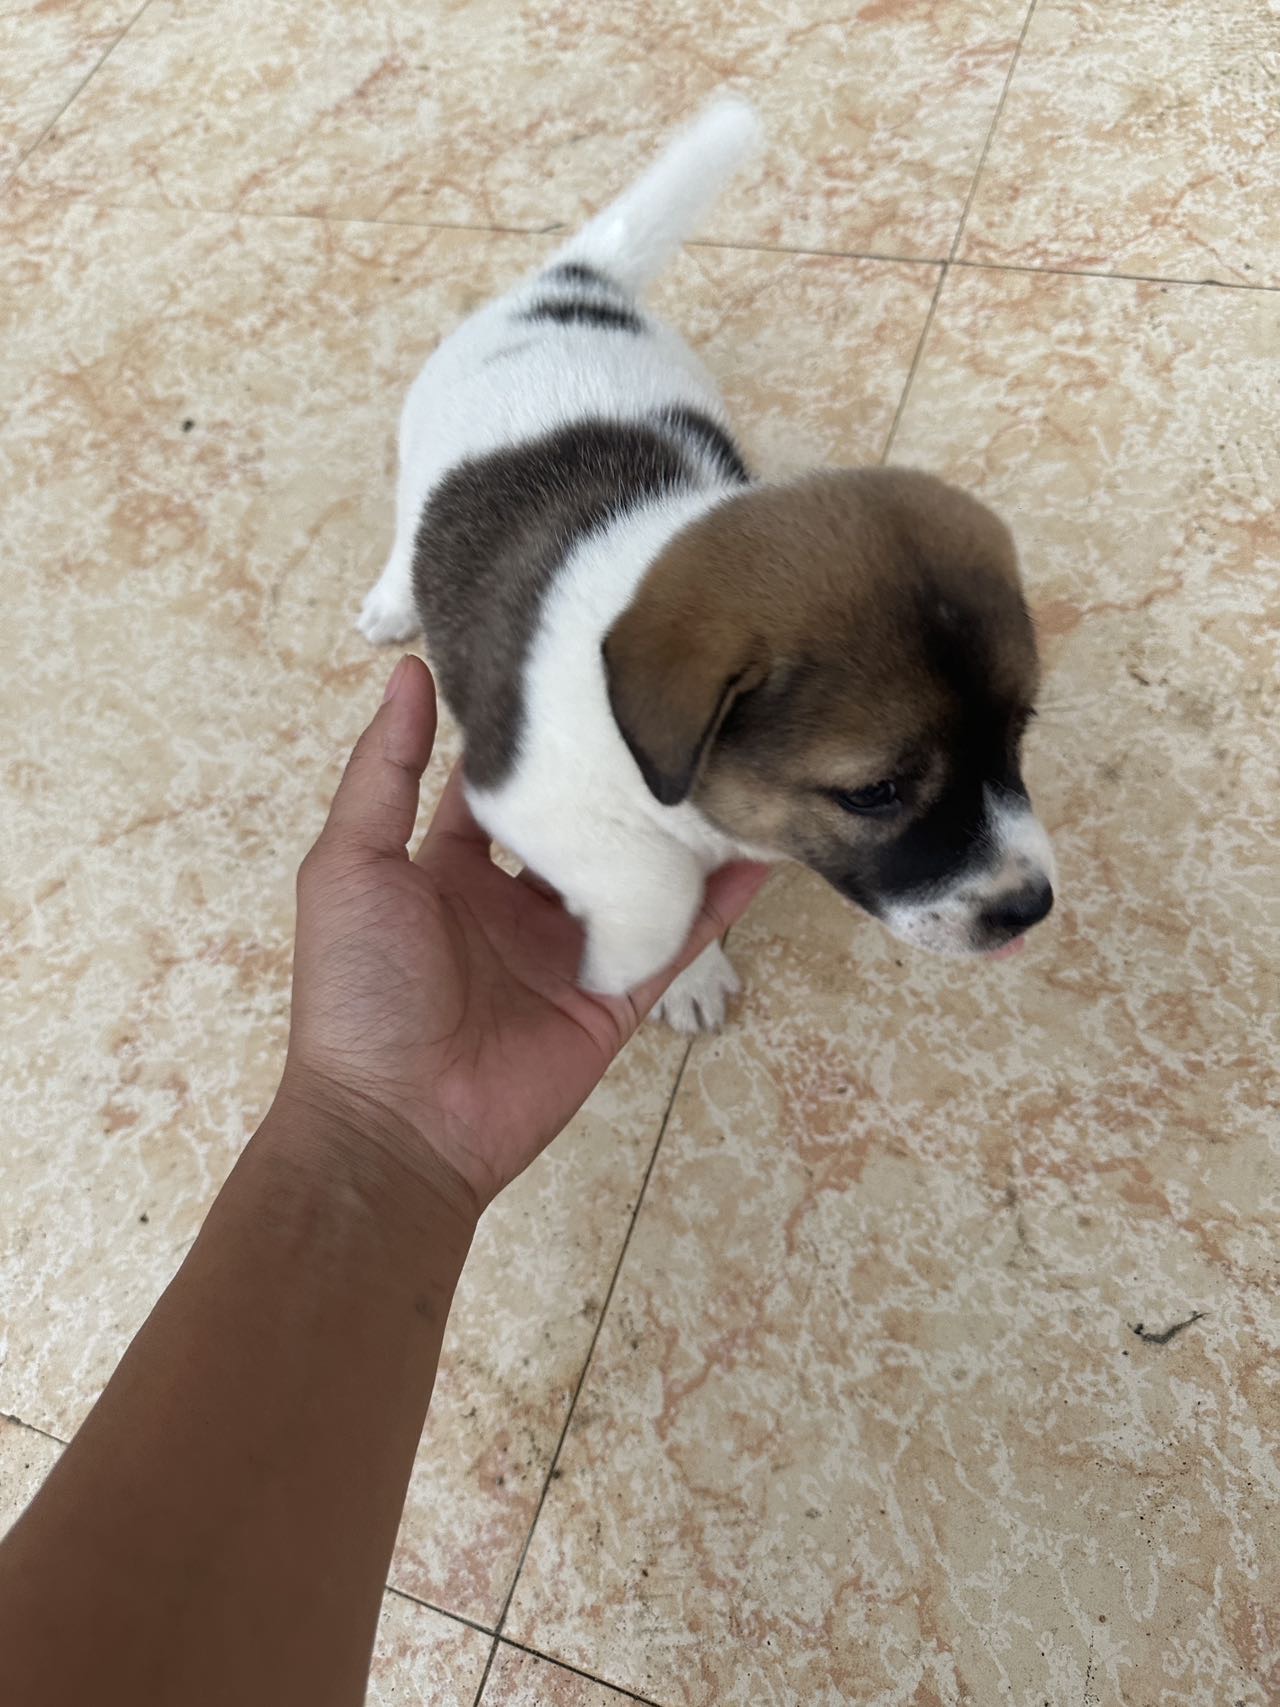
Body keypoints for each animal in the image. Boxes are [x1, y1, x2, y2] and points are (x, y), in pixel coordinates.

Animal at [358, 100, 1055, 1031]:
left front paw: (683, 974)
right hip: (418, 447)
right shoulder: (528, 794)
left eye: (1018, 732)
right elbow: (661, 891)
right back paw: (392, 599)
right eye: (874, 793)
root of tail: (569, 286)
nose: (1031, 906)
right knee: (406, 529)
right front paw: (634, 965)